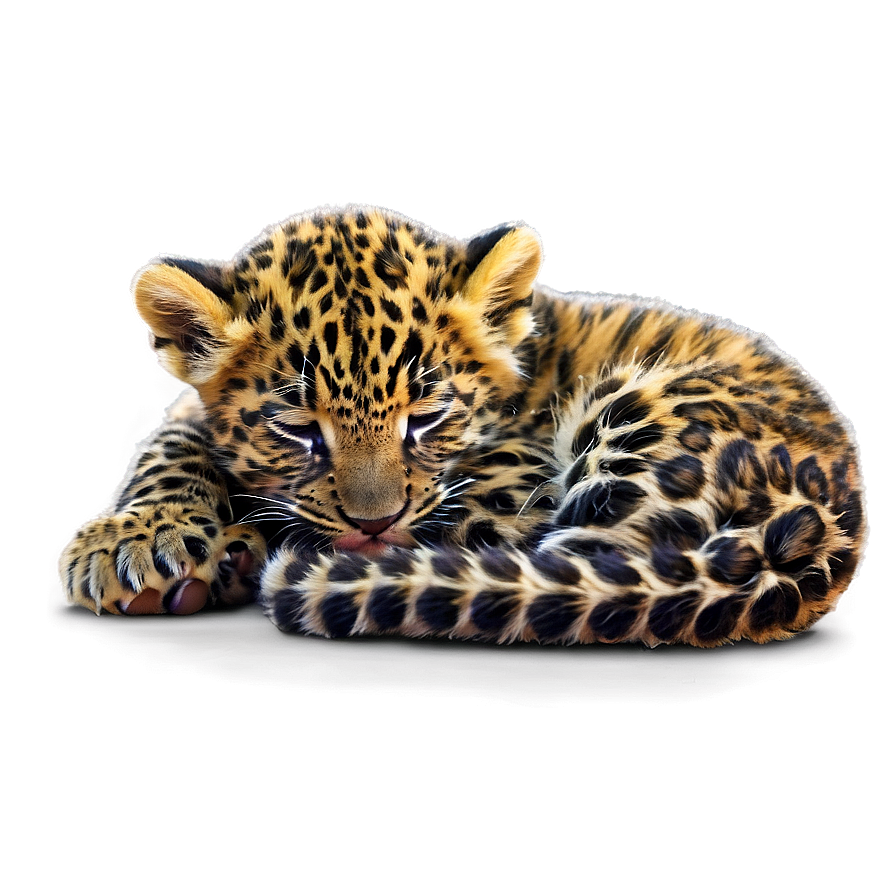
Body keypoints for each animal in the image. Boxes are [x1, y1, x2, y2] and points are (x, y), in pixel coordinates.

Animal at [59, 205, 867, 647]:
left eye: (427, 418)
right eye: (299, 429)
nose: (373, 523)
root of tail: (831, 521)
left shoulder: (511, 492)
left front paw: (226, 548)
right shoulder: (192, 412)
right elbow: (178, 439)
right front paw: (134, 542)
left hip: (634, 415)